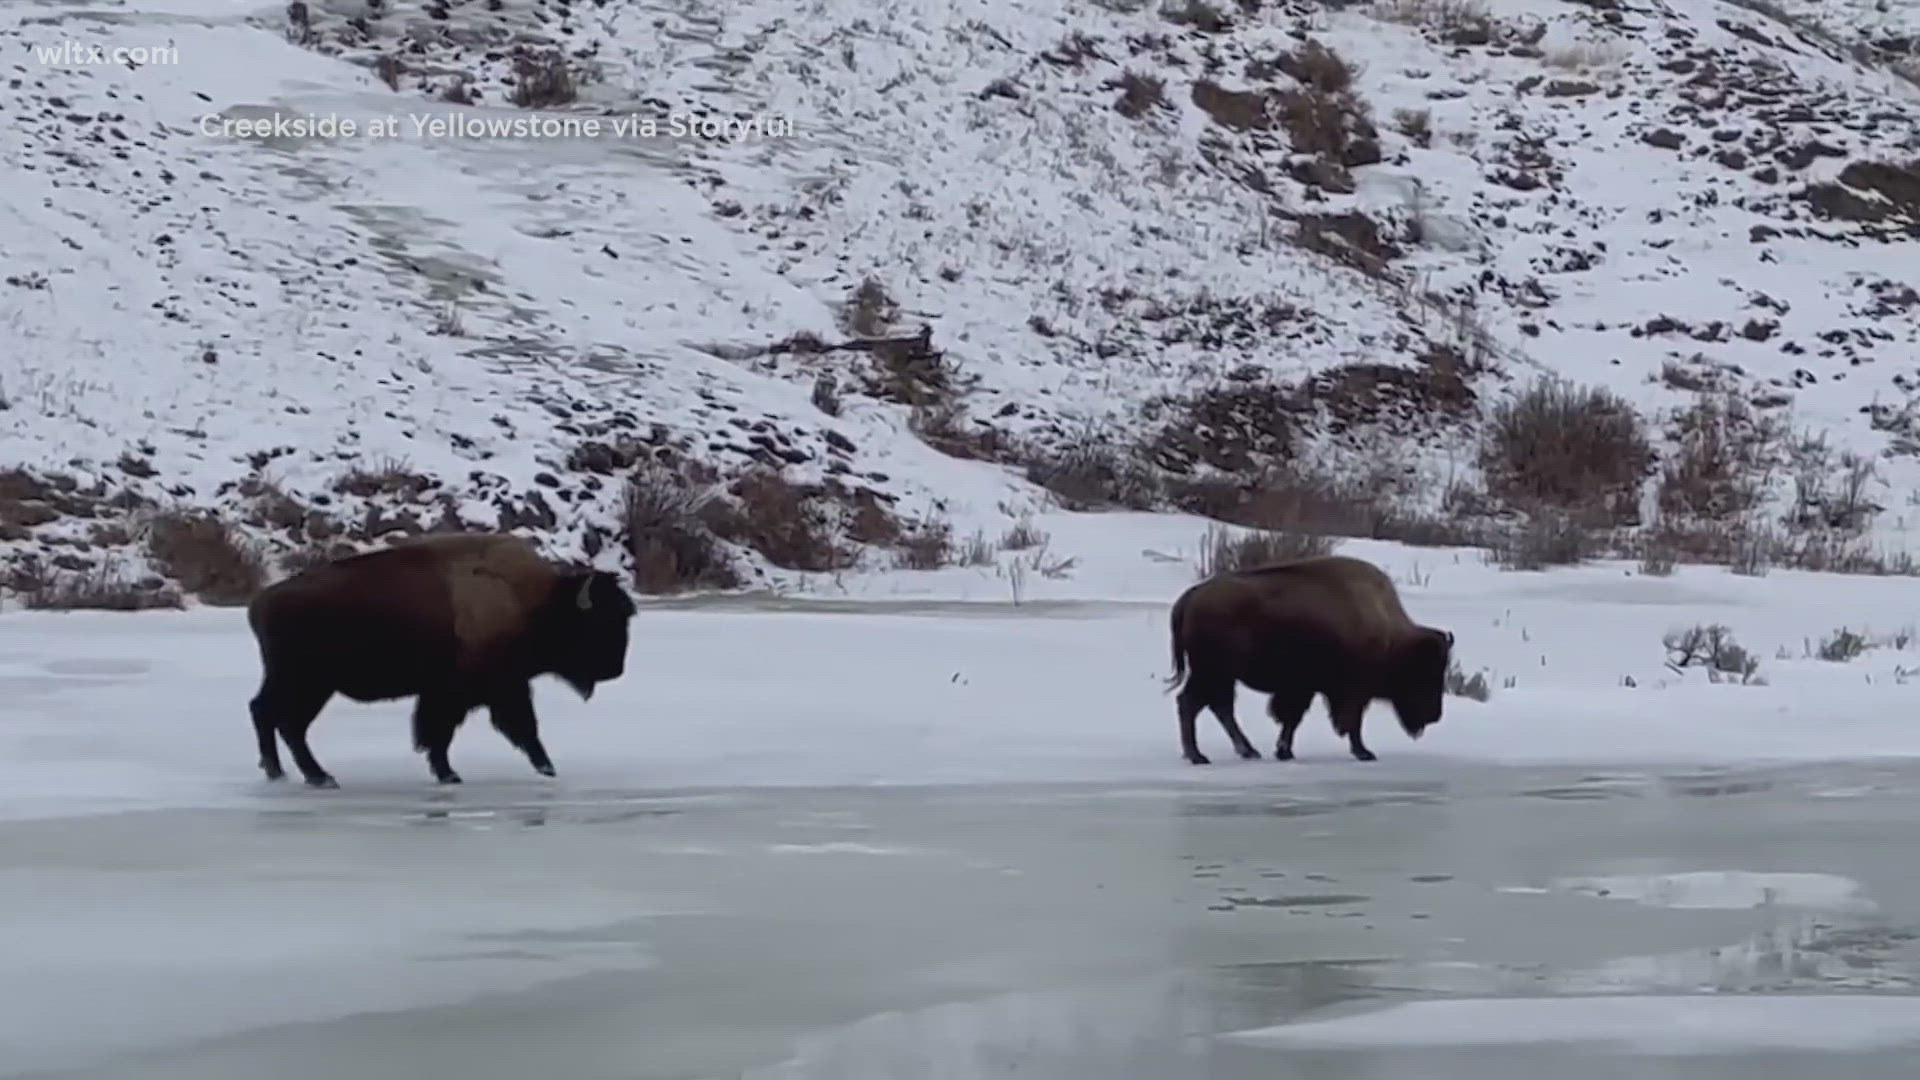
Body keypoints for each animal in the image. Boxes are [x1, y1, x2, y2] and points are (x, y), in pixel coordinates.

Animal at [243, 534, 637, 787]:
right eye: (601, 621)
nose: (616, 669)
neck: (535, 602)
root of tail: (261, 602)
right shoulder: (490, 688)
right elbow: (512, 728)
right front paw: (544, 768)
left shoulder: (459, 692)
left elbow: (440, 733)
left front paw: (446, 772)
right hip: (307, 682)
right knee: (283, 721)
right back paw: (317, 777)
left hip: (307, 685)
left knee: (271, 716)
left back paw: (286, 773)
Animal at [1152, 553, 1451, 764]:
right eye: (1425, 672)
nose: (1435, 715)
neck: (1386, 630)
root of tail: (1190, 597)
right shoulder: (1351, 691)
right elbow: (1351, 722)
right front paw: (1364, 752)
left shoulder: (1303, 688)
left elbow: (1292, 719)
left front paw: (1284, 752)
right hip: (1213, 672)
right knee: (1192, 704)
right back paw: (1199, 756)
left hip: (1220, 676)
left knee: (1218, 707)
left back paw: (1246, 751)